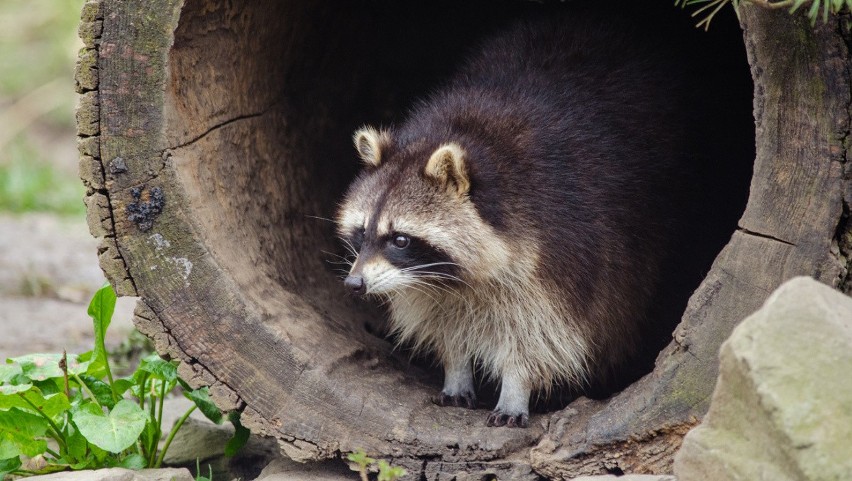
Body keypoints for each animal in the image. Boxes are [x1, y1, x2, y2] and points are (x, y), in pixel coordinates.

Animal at [336, 11, 704, 426]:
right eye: (362, 232)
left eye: (399, 239)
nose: (354, 284)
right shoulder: (428, 281)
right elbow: (441, 317)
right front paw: (456, 367)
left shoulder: (567, 242)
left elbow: (542, 331)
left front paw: (516, 386)